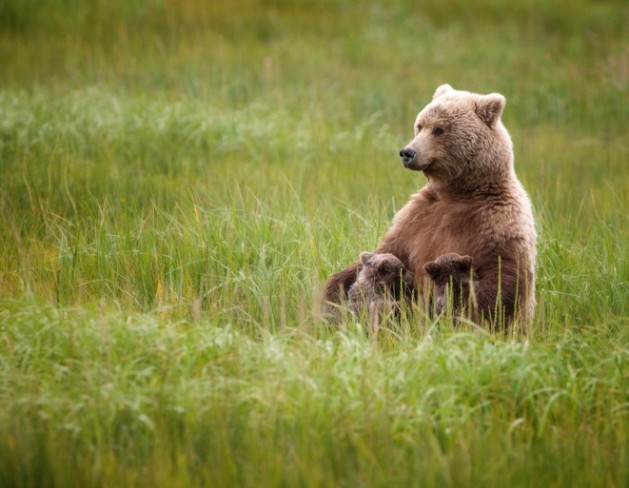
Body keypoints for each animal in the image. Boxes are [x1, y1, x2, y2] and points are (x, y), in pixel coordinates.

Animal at [324, 84, 536, 330]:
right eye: (419, 126)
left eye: (439, 129)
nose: (407, 152)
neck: (458, 192)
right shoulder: (417, 217)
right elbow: (386, 250)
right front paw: (331, 295)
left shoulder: (497, 221)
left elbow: (502, 278)